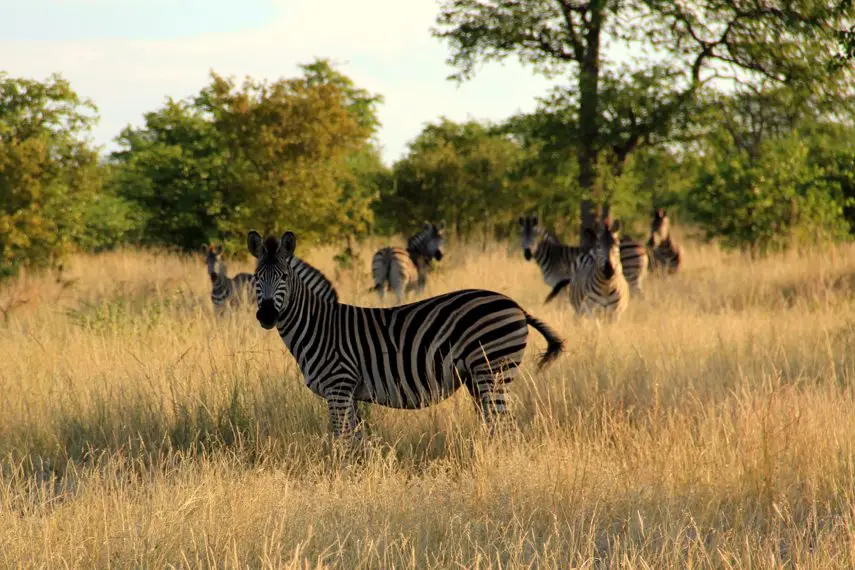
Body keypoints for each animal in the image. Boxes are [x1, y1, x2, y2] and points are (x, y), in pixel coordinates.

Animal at [248, 229, 564, 439]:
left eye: (284, 277)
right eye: (255, 278)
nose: (266, 316)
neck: (316, 326)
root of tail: (516, 306)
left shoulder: (339, 386)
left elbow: (341, 439)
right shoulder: (349, 393)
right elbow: (357, 439)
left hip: (494, 370)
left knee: (505, 427)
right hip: (480, 378)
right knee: (495, 425)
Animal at [519, 215, 647, 300]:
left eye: (535, 236)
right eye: (521, 236)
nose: (527, 254)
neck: (551, 256)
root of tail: (641, 247)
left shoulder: (560, 283)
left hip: (630, 275)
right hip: (636, 277)